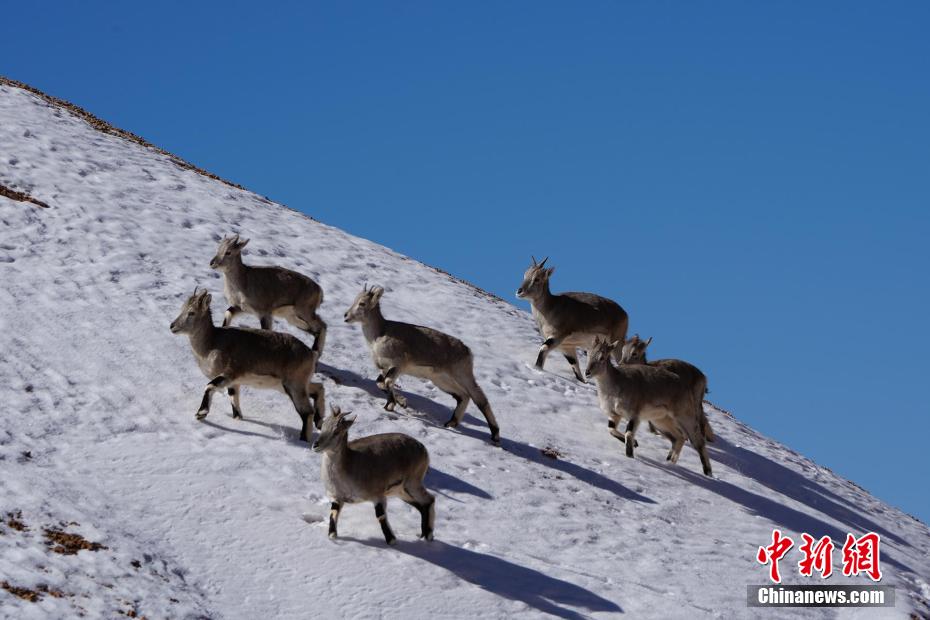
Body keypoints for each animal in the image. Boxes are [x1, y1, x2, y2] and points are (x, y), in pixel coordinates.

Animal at [169, 290, 324, 440]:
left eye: (191, 312)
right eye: (183, 309)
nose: (172, 326)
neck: (212, 343)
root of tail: (311, 354)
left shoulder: (230, 373)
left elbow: (210, 386)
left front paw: (201, 413)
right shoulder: (234, 382)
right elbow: (234, 400)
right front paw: (237, 419)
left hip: (294, 386)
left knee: (307, 412)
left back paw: (304, 438)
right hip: (292, 385)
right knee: (318, 388)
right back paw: (319, 421)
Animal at [312, 406, 436, 544]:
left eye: (336, 431)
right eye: (322, 426)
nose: (315, 445)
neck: (349, 465)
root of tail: (423, 449)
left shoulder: (377, 495)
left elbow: (380, 515)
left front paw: (391, 540)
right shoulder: (336, 497)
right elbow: (333, 512)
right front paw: (332, 534)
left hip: (413, 482)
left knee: (429, 499)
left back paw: (428, 535)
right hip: (400, 490)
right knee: (421, 504)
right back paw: (424, 535)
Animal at [342, 286, 500, 446]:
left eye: (362, 303)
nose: (346, 316)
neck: (378, 335)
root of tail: (467, 351)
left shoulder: (398, 365)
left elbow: (387, 382)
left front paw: (394, 404)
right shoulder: (385, 368)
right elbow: (381, 384)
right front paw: (398, 403)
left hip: (462, 374)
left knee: (479, 398)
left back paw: (495, 435)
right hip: (441, 380)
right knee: (463, 396)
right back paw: (452, 422)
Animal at [588, 340, 712, 474]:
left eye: (602, 357)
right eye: (589, 353)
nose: (587, 372)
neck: (615, 386)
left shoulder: (634, 414)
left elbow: (629, 433)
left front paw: (630, 455)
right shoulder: (614, 414)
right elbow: (611, 430)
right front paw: (635, 443)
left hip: (685, 415)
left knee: (698, 441)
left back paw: (707, 472)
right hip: (661, 420)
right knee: (678, 437)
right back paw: (669, 462)